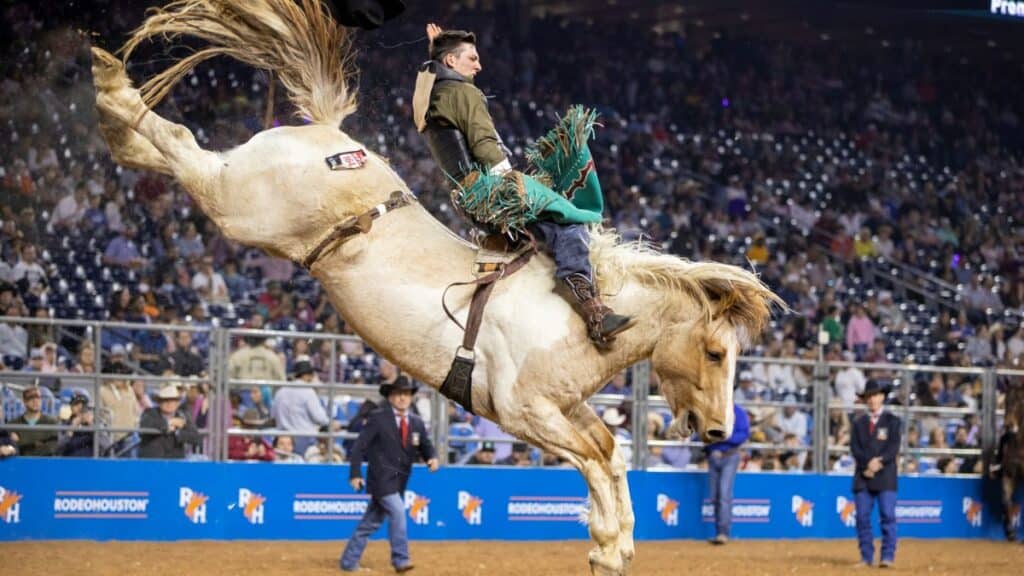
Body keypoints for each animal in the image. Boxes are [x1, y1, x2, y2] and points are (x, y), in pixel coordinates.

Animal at [92, 3, 778, 569]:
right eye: (715, 352)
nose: (720, 432)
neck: (581, 312)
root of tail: (328, 135)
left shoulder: (568, 404)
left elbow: (610, 451)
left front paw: (614, 544)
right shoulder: (524, 411)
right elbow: (591, 457)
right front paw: (609, 540)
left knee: (168, 150)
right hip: (242, 206)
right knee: (183, 146)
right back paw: (111, 88)